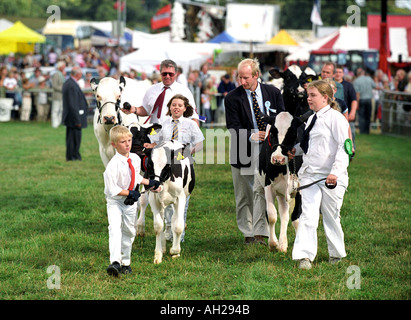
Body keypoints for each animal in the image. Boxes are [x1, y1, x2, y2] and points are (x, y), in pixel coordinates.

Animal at [258, 110, 308, 252]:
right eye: (272, 132)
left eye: (292, 133)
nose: (278, 159)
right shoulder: (268, 185)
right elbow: (271, 215)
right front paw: (273, 243)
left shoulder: (301, 187)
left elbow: (296, 217)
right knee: (282, 213)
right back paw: (281, 243)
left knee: (287, 215)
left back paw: (283, 244)